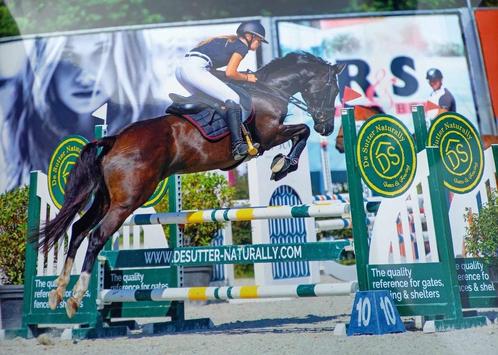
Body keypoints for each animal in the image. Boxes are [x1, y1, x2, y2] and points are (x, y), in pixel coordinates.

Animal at [39, 51, 344, 318]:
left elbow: (301, 133)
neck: (268, 91)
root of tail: (113, 140)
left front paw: (282, 164)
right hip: (127, 201)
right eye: (332, 89)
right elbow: (301, 132)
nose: (328, 128)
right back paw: (75, 298)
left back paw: (57, 293)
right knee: (96, 236)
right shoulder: (269, 135)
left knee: (78, 229)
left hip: (105, 199)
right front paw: (283, 165)